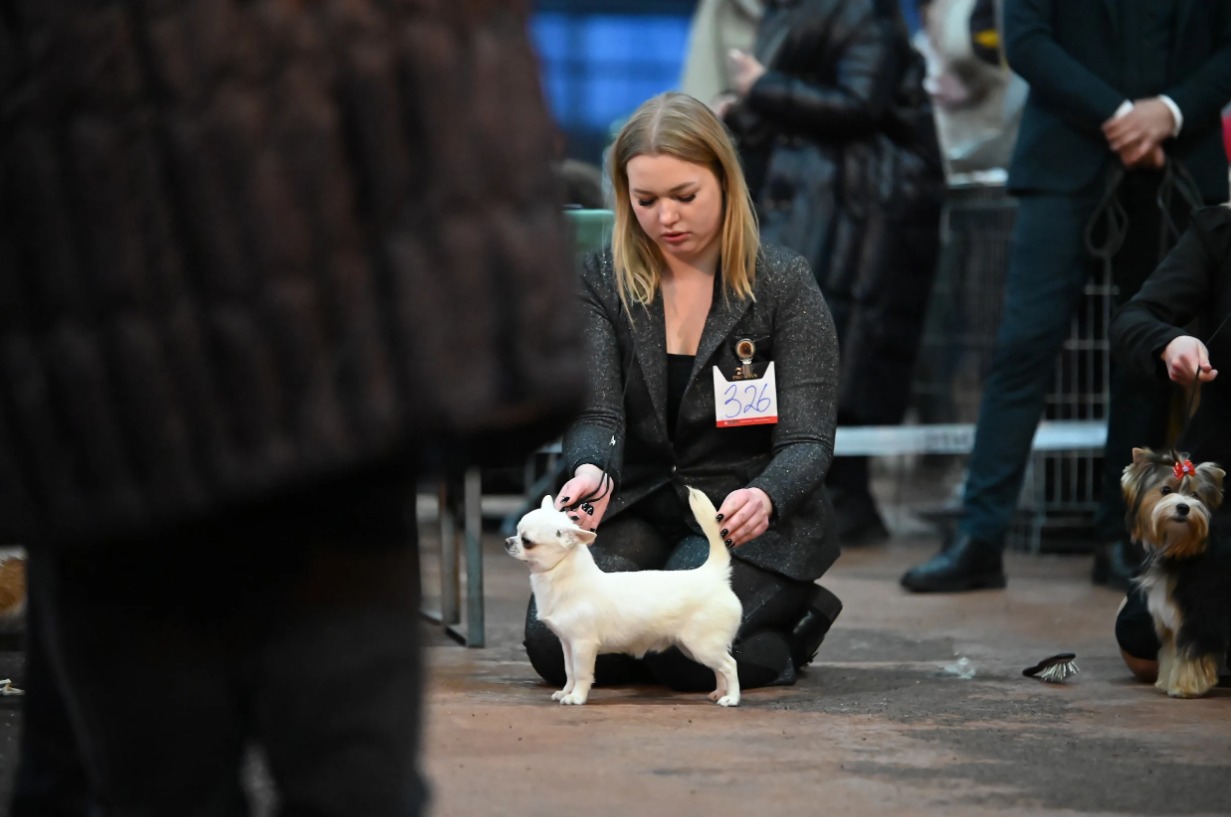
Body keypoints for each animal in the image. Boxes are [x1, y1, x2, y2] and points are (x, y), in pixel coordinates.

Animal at [502, 487, 738, 703]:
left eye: (527, 541)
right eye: (516, 532)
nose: (507, 541)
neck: (563, 576)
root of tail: (712, 573)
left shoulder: (583, 645)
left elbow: (581, 674)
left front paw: (576, 697)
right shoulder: (567, 643)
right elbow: (569, 671)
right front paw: (565, 692)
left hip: (702, 645)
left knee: (729, 665)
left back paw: (731, 698)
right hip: (694, 647)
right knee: (719, 669)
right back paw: (719, 693)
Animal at [1122, 450, 1226, 698]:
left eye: (1195, 494)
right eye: (1165, 490)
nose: (1183, 507)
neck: (1181, 550)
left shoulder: (1198, 616)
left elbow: (1190, 654)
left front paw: (1184, 688)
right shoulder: (1172, 620)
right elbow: (1171, 652)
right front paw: (1166, 681)